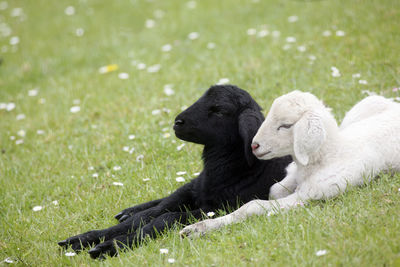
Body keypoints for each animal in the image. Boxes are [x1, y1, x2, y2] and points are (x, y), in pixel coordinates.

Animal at [57, 84, 292, 260]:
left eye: (219, 110)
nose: (177, 122)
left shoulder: (219, 208)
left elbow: (165, 218)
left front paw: (110, 247)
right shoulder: (194, 195)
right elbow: (148, 215)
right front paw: (83, 240)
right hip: (192, 187)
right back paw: (127, 212)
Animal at [180, 91, 400, 238]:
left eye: (286, 125)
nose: (254, 145)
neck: (329, 154)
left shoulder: (310, 197)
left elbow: (252, 206)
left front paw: (200, 228)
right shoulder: (290, 177)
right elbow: (274, 190)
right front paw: (196, 228)